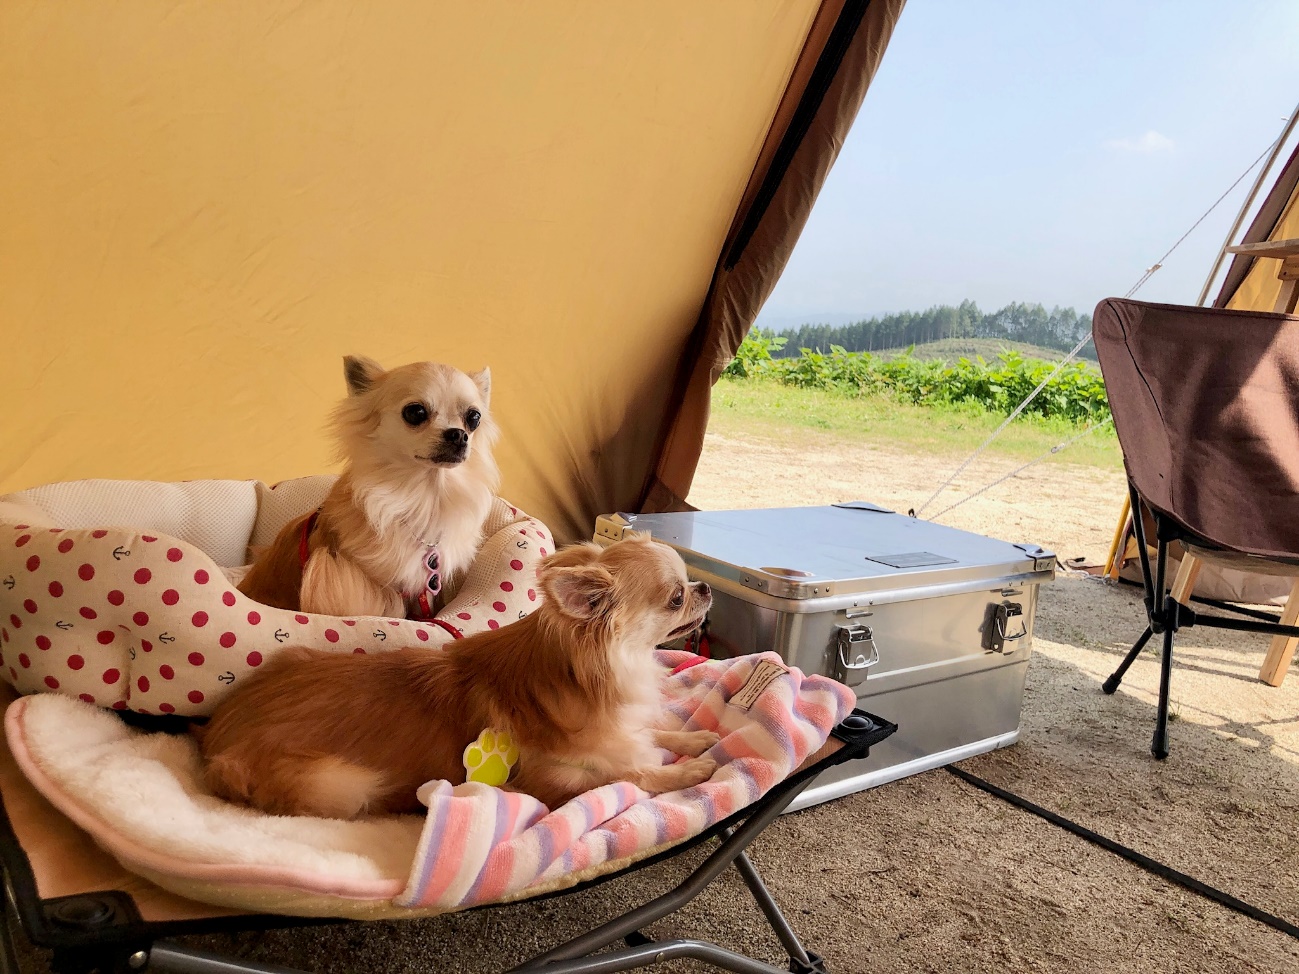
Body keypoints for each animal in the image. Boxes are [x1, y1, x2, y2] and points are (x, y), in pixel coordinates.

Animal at [200, 537, 722, 820]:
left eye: (688, 585)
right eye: (676, 598)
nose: (704, 586)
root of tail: (212, 742)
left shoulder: (626, 729)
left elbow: (652, 733)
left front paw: (693, 740)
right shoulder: (551, 781)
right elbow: (629, 774)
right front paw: (689, 771)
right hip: (338, 786)